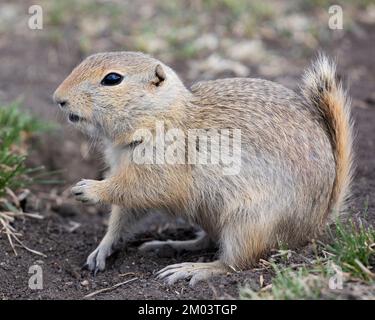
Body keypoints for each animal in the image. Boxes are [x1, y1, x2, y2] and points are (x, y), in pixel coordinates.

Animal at [53, 51, 356, 286]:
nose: (58, 98)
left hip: (247, 223)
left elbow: (139, 190)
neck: (161, 119)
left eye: (112, 79)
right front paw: (102, 249)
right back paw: (168, 246)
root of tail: (315, 224)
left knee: (234, 263)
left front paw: (89, 189)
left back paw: (192, 269)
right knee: (208, 242)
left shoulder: (159, 169)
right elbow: (124, 215)